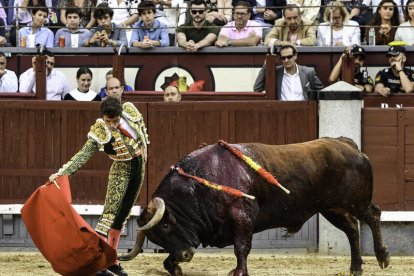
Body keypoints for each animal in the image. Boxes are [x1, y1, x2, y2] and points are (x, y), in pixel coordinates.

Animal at [119, 138, 388, 276]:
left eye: (166, 225)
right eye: (156, 237)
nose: (185, 255)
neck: (201, 182)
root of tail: (348, 145)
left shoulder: (242, 216)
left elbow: (242, 247)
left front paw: (239, 272)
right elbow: (168, 262)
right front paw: (173, 267)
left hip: (355, 201)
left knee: (373, 215)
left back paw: (382, 257)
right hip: (331, 209)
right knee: (352, 230)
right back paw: (355, 268)